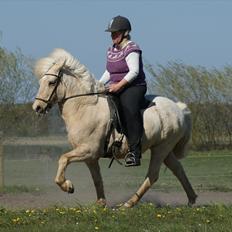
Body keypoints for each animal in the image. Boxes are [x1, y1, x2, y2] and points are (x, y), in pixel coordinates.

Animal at [31, 48, 197, 208]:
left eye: (52, 82)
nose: (37, 107)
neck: (84, 107)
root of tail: (178, 108)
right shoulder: (90, 157)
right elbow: (96, 178)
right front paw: (100, 203)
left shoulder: (88, 150)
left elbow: (63, 159)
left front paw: (68, 186)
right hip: (164, 149)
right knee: (177, 169)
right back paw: (192, 199)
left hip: (161, 148)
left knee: (152, 175)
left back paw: (129, 203)